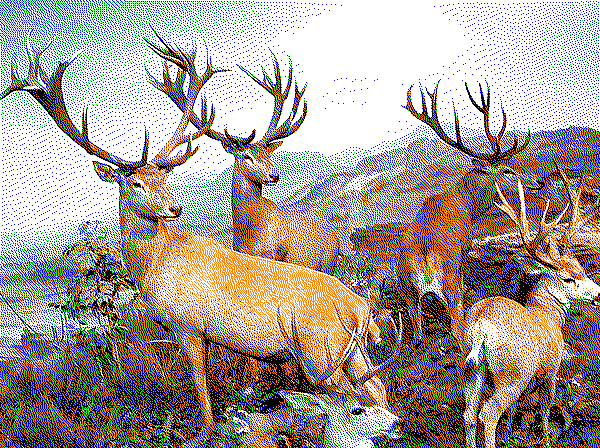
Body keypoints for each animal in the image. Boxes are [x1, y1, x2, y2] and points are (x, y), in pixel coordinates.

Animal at [146, 50, 342, 276]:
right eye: (247, 156)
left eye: (267, 154)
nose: (274, 175)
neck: (249, 233)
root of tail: (336, 239)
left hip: (325, 265)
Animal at [398, 81, 543, 351]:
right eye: (508, 170)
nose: (537, 182)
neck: (468, 205)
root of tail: (421, 262)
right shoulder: (463, 250)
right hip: (449, 282)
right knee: (456, 323)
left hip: (408, 291)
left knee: (417, 326)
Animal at [462, 168, 600, 448]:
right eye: (568, 278)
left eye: (581, 267)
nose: (598, 293)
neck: (548, 314)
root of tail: (480, 326)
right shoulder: (551, 367)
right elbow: (546, 408)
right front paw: (547, 437)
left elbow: (519, 411)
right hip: (513, 372)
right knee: (488, 413)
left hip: (474, 367)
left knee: (470, 413)